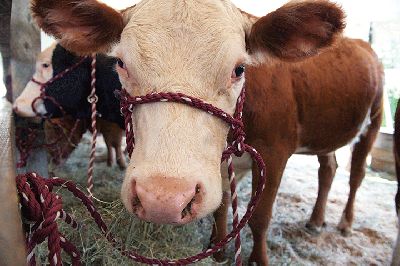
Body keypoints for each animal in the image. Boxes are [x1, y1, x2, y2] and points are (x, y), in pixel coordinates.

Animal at [29, 0, 346, 262]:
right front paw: (217, 250)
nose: (163, 199)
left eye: (239, 69)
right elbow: (222, 205)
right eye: (121, 63)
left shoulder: (275, 153)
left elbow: (260, 218)